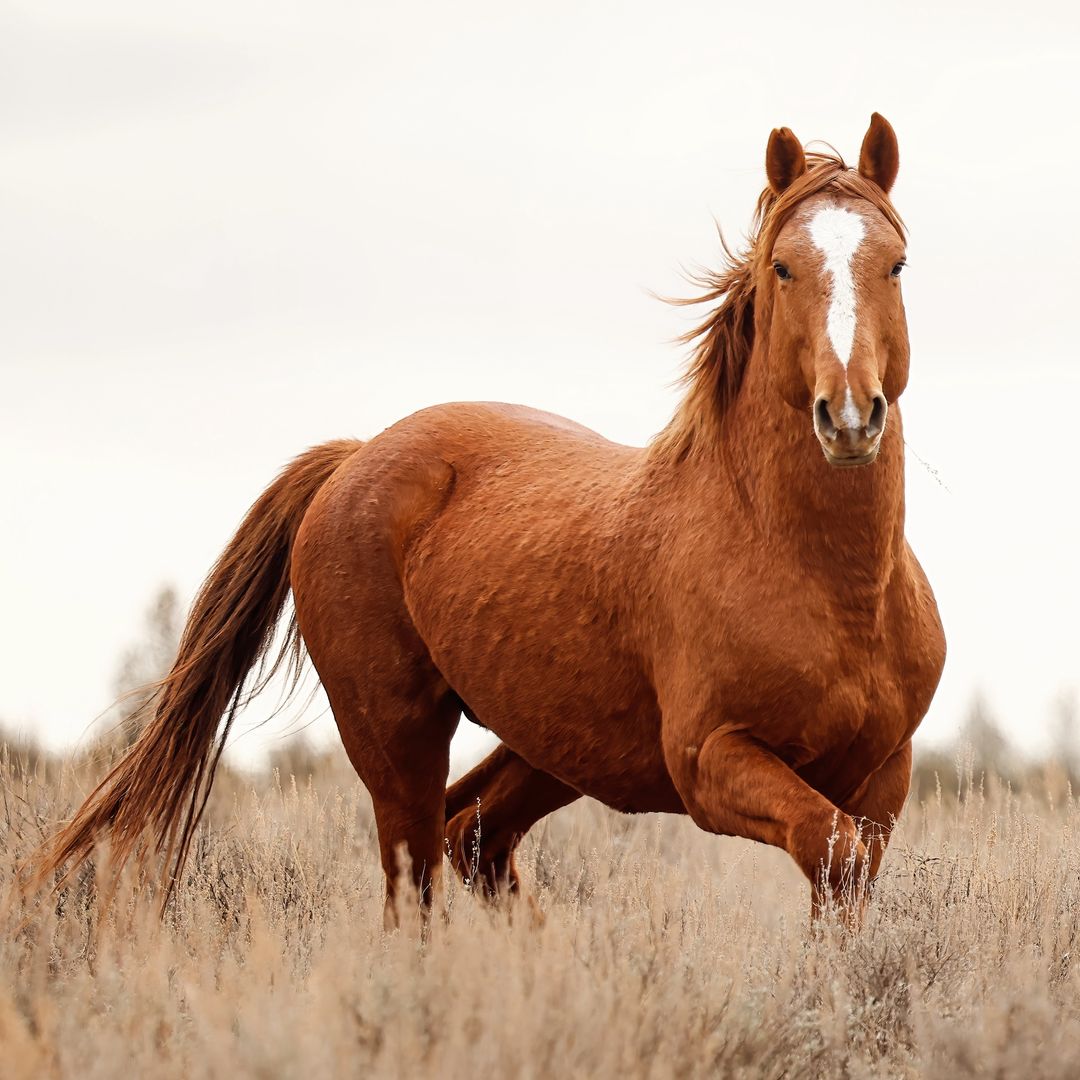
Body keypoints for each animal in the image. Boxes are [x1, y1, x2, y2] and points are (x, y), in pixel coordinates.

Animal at [31, 113, 945, 923]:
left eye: (897, 265)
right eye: (785, 268)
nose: (849, 416)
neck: (820, 578)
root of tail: (354, 459)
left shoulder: (881, 780)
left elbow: (842, 879)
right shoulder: (712, 759)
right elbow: (830, 849)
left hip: (552, 745)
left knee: (472, 835)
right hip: (398, 737)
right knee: (416, 879)